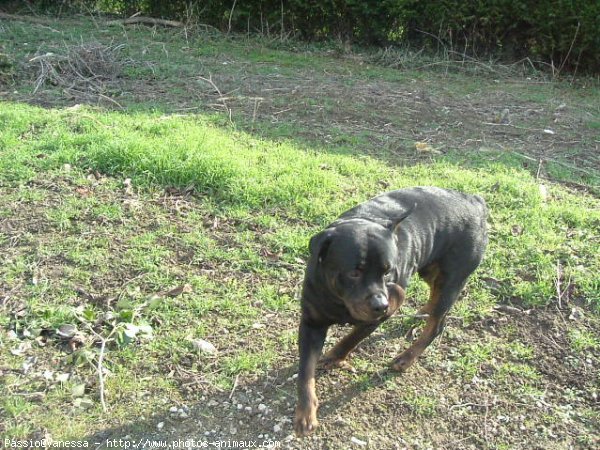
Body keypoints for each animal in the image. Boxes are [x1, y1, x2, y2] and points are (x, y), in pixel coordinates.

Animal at [294, 186, 488, 436]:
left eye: (388, 272)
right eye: (354, 272)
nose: (381, 304)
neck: (339, 300)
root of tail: (475, 200)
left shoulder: (377, 316)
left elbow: (351, 338)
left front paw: (334, 356)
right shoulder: (311, 323)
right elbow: (305, 371)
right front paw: (306, 412)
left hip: (453, 278)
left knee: (437, 324)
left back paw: (406, 357)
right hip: (429, 269)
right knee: (433, 296)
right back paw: (423, 310)